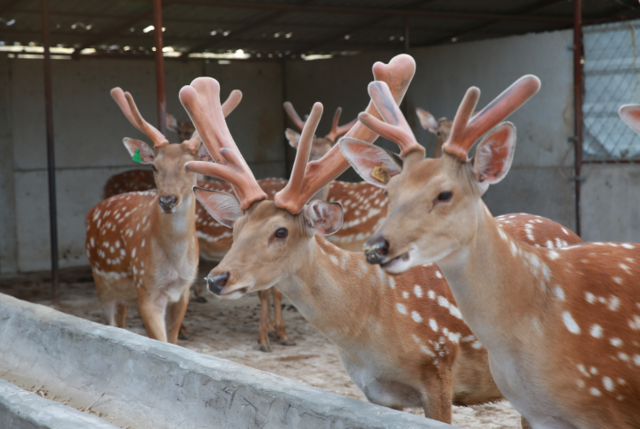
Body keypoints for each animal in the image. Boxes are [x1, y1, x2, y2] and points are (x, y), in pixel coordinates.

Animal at [85, 88, 242, 344]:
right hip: (101, 281)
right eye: (154, 166)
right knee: (111, 321)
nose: (167, 200)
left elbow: (173, 340)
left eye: (190, 166)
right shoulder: (146, 288)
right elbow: (160, 341)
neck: (173, 265)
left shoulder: (183, 290)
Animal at [180, 58, 584, 422]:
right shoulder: (377, 393)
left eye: (280, 231)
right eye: (235, 229)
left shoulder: (438, 367)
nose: (217, 278)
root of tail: (570, 230)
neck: (371, 325)